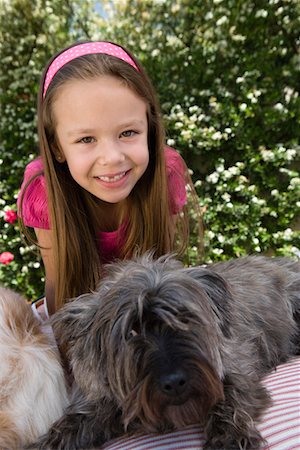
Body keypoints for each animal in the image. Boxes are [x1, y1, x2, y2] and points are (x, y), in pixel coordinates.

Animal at [34, 255, 298, 450]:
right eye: (131, 331)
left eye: (184, 318)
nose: (175, 382)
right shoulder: (103, 401)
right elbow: (73, 423)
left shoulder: (235, 367)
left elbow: (229, 397)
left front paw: (230, 438)